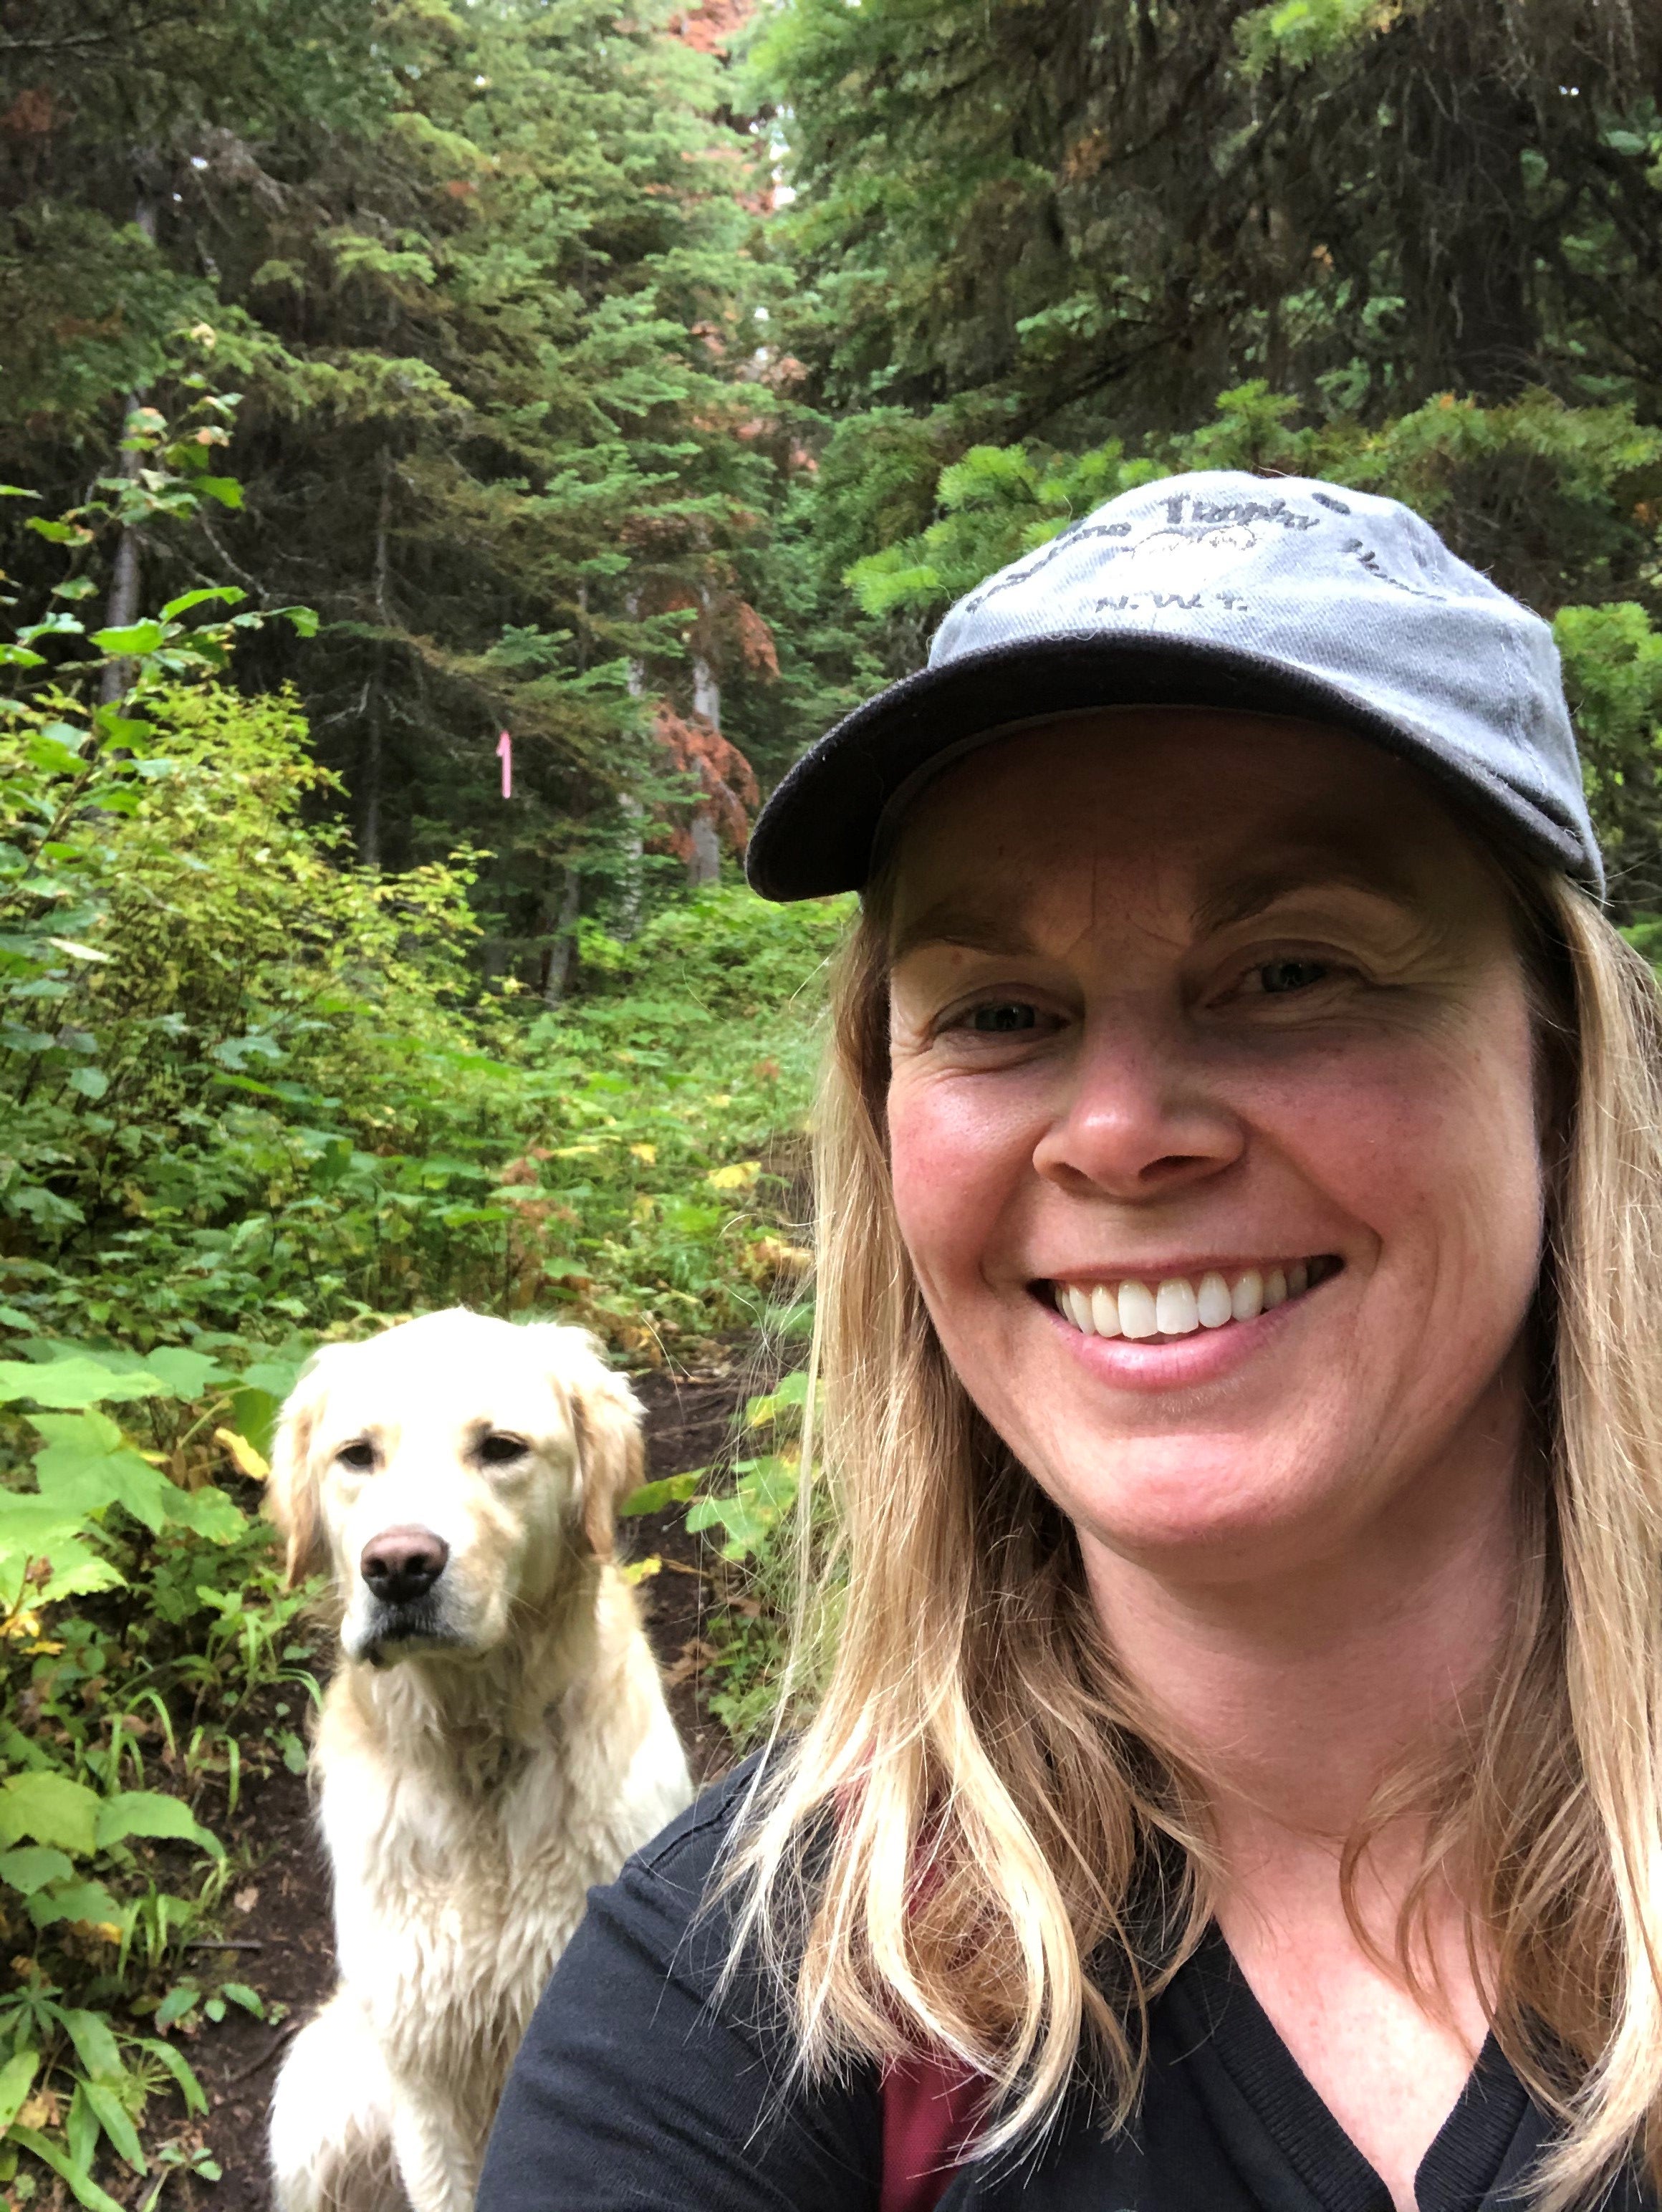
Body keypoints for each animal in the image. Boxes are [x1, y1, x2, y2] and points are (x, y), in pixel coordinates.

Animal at [267, 1292, 695, 2212]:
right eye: (356, 1455)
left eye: (500, 1447)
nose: (397, 1565)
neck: (478, 1751)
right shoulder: (421, 2073)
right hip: (317, 2100)